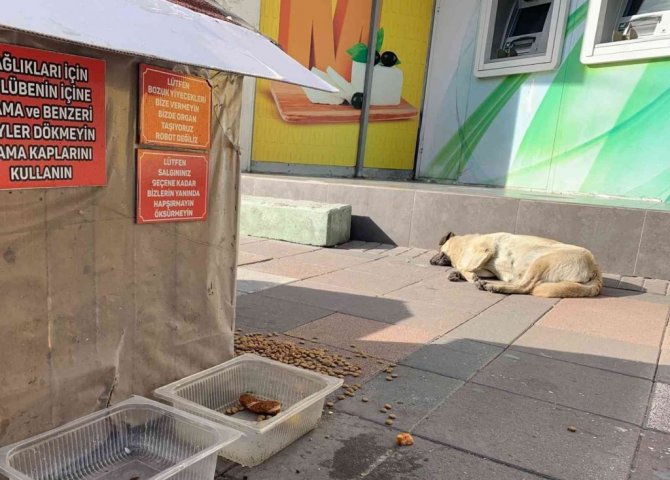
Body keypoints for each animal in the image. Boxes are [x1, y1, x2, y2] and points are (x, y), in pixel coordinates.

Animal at [430, 232, 602, 298]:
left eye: (439, 249)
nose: (430, 261)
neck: (463, 244)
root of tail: (595, 268)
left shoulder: (484, 251)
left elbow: (465, 267)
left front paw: (467, 275)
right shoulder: (486, 268)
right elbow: (472, 269)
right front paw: (458, 274)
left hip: (540, 263)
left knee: (526, 287)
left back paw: (495, 287)